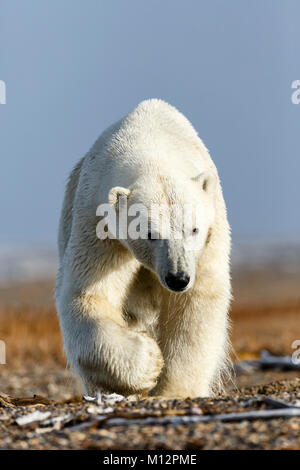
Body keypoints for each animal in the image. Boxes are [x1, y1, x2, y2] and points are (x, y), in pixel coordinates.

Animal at [55, 98, 231, 396]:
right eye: (149, 233)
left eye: (193, 229)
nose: (177, 278)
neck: (151, 145)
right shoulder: (100, 224)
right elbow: (89, 294)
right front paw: (148, 361)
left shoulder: (212, 232)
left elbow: (197, 304)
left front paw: (173, 391)